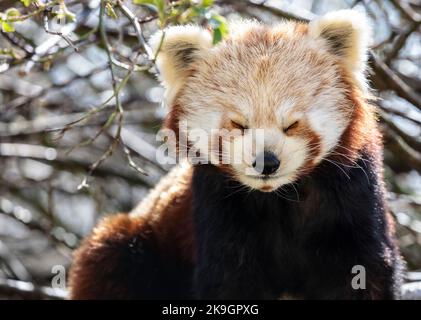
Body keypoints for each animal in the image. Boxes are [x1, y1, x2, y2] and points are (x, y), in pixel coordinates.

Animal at [69, 10, 404, 300]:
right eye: (239, 124)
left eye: (292, 125)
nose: (266, 162)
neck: (279, 197)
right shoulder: (217, 208)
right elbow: (229, 281)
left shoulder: (353, 195)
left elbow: (362, 273)